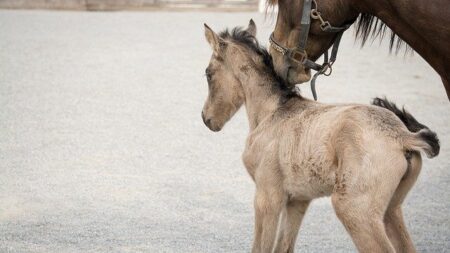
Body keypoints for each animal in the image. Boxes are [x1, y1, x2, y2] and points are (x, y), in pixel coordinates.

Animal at [200, 21, 440, 253]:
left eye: (208, 73)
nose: (205, 118)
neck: (274, 111)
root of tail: (402, 136)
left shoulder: (267, 197)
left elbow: (261, 248)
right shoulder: (298, 201)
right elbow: (284, 247)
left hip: (355, 209)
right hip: (391, 209)